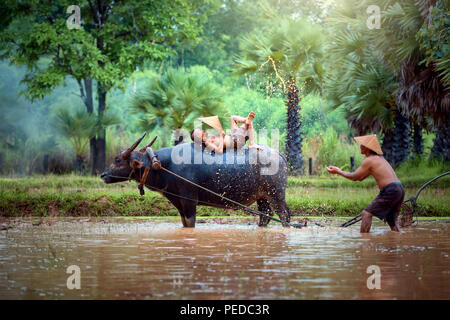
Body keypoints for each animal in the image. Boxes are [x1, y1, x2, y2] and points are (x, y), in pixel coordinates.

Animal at [101, 134, 292, 228]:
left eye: (118, 159)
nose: (103, 175)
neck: (164, 165)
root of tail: (279, 155)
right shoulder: (178, 202)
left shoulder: (189, 201)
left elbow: (191, 223)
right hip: (263, 197)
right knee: (265, 216)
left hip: (276, 195)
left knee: (284, 215)